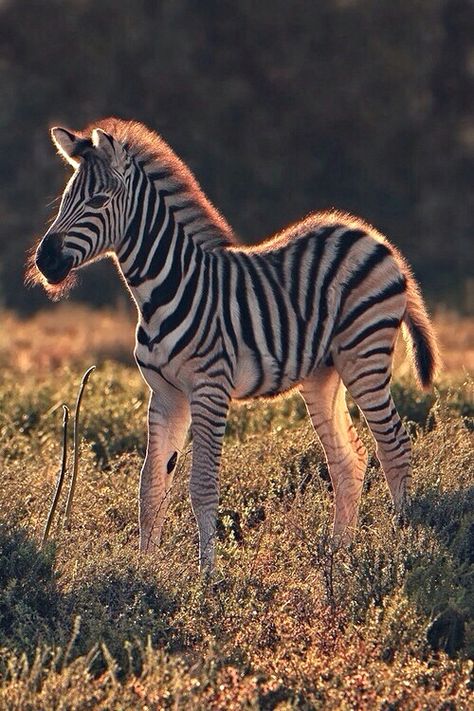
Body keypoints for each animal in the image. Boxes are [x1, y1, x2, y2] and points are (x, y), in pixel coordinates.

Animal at [29, 118, 438, 572]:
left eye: (98, 200)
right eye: (65, 200)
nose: (45, 261)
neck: (163, 290)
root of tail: (374, 238)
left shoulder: (210, 387)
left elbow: (202, 486)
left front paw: (207, 574)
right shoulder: (165, 394)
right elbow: (150, 487)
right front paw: (143, 569)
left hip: (365, 355)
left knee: (395, 446)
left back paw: (398, 545)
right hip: (322, 374)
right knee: (348, 459)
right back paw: (338, 556)